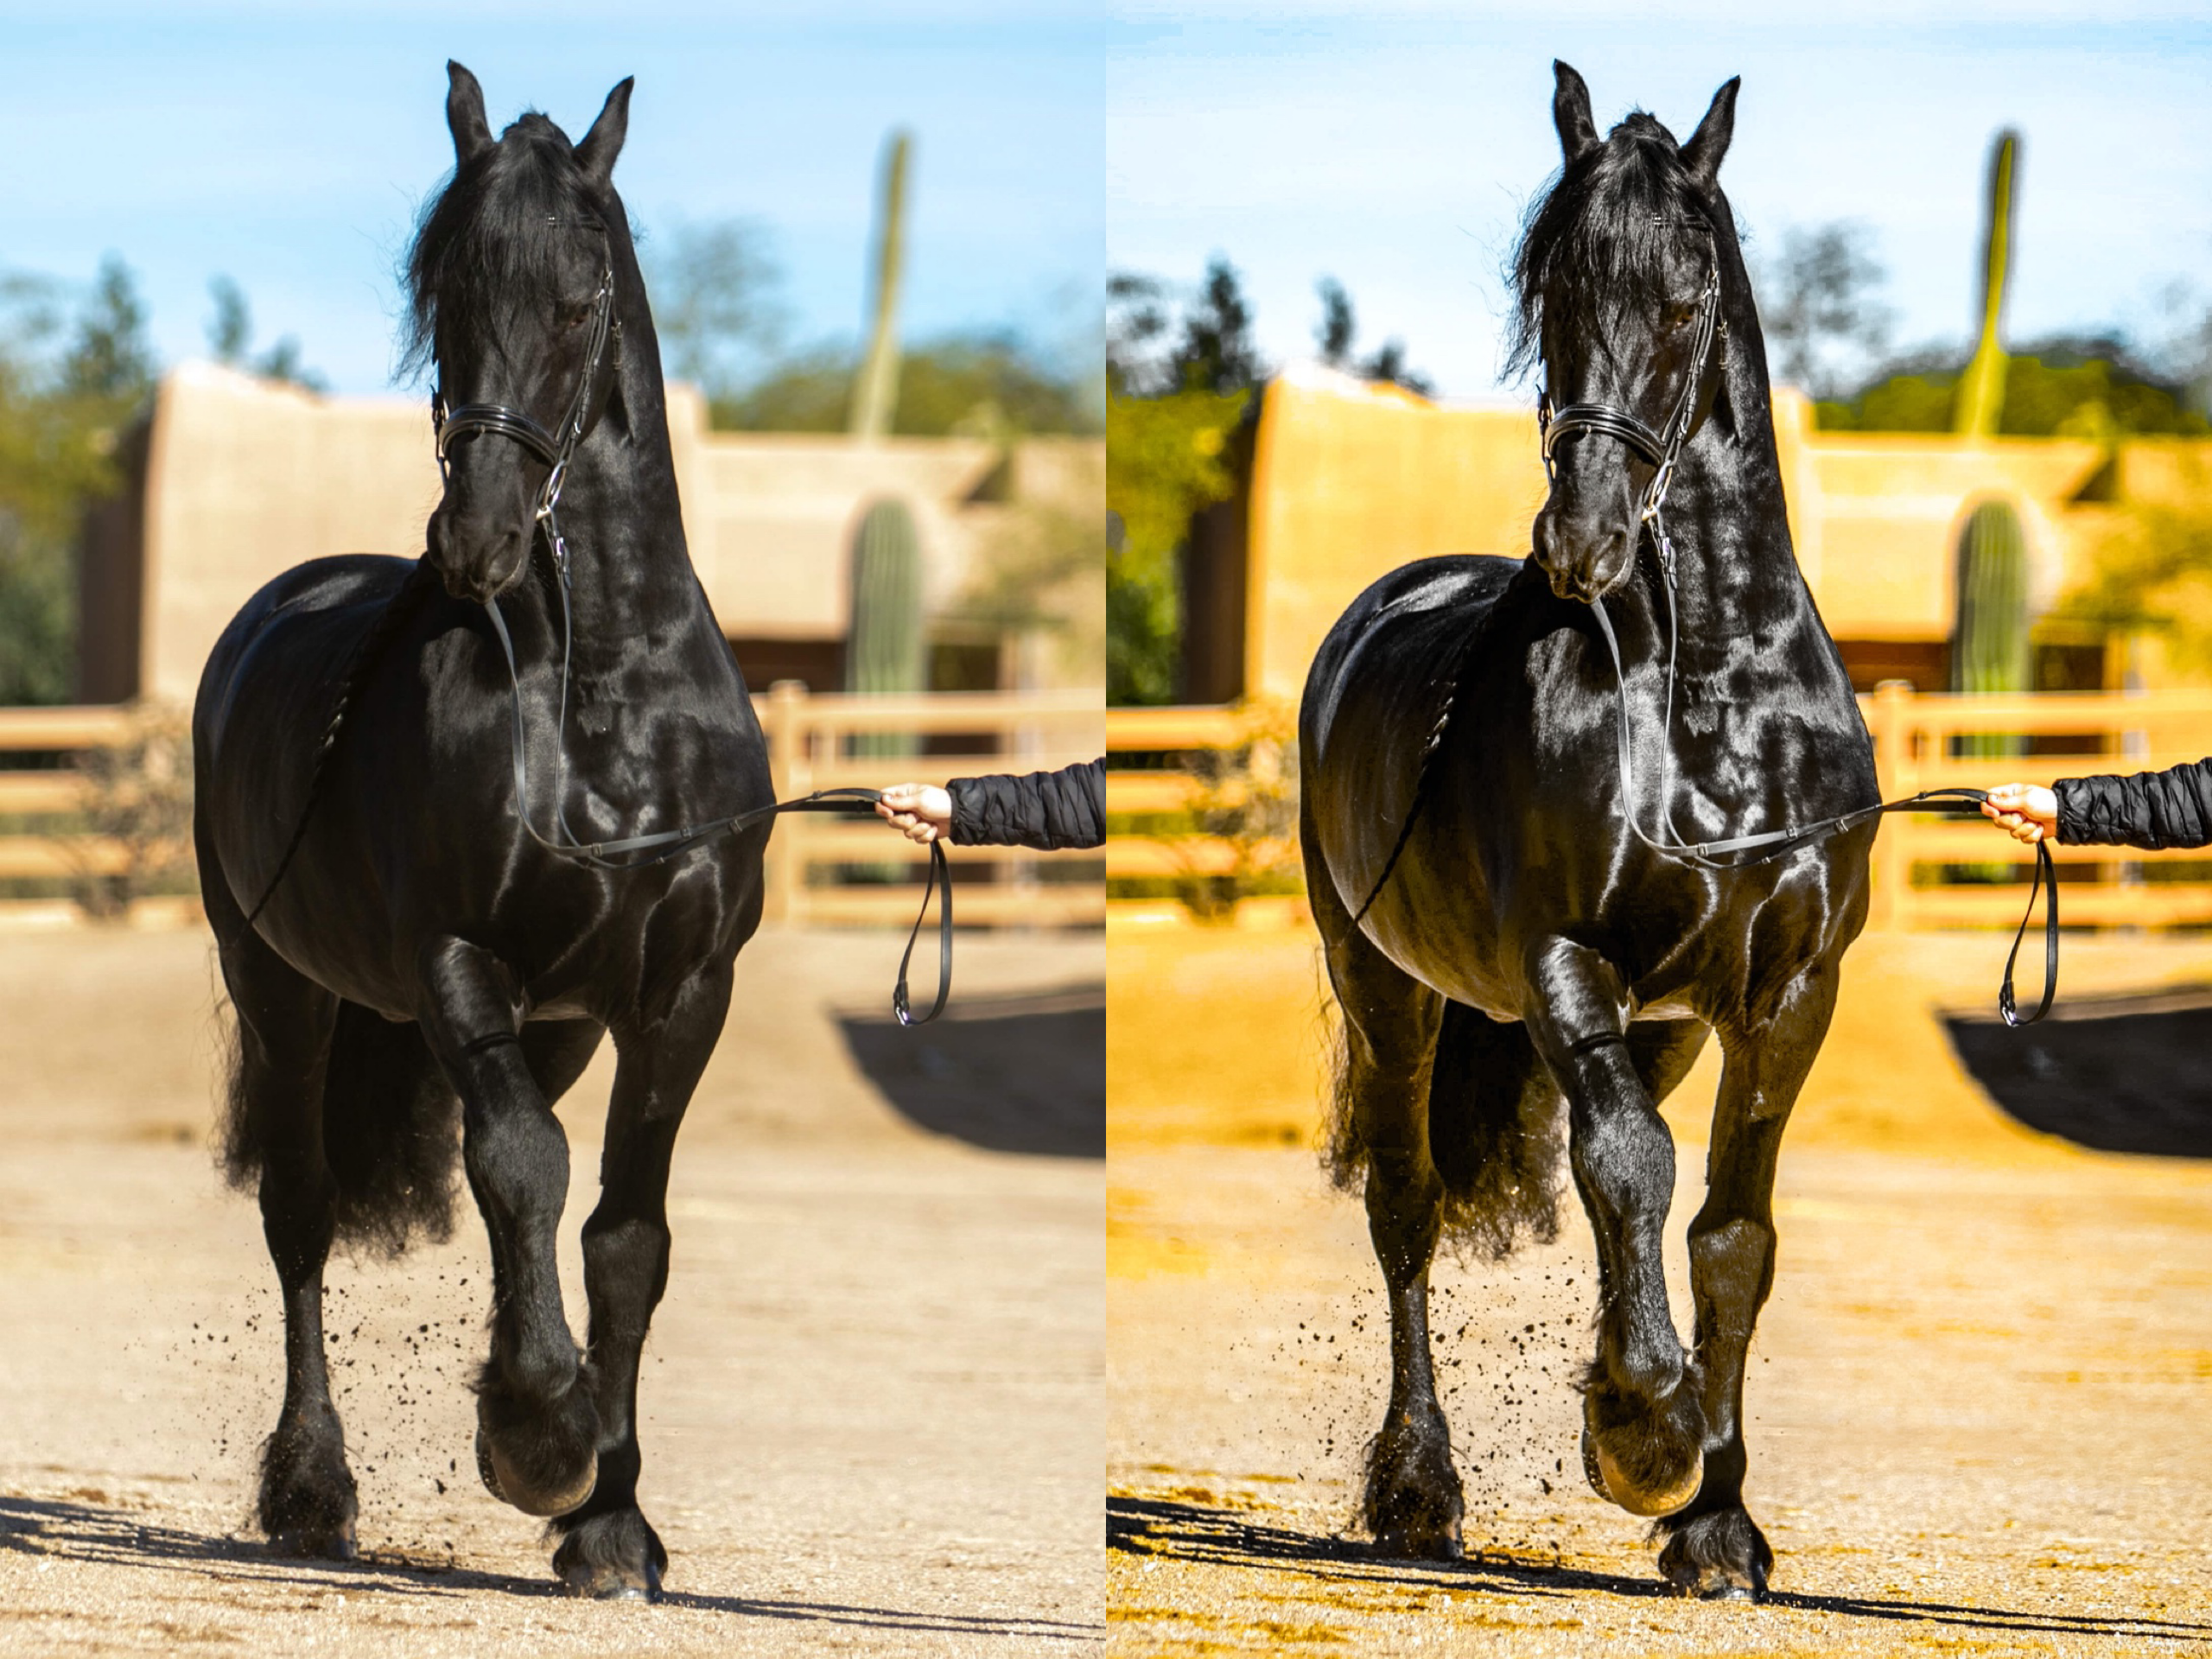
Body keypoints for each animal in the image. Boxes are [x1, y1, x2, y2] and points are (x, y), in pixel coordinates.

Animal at [193, 64, 773, 1599]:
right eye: (443, 301)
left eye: (578, 302)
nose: (478, 542)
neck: (606, 713)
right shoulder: (458, 960)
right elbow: (522, 1168)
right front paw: (539, 1439)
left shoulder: (681, 993)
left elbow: (623, 1234)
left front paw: (611, 1526)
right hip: (282, 988)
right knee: (303, 1213)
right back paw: (312, 1490)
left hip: (557, 1025)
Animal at [1298, 63, 1880, 1600]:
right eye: (1550, 292)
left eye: (1684, 301)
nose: (1583, 543)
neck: (1716, 712)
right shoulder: (1565, 961)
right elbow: (1626, 1167)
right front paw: (1644, 1434)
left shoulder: (1786, 995)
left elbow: (1729, 1233)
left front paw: (1716, 1526)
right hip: (1387, 986)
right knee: (1408, 1209)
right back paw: (1419, 1488)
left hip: (1663, 1025)